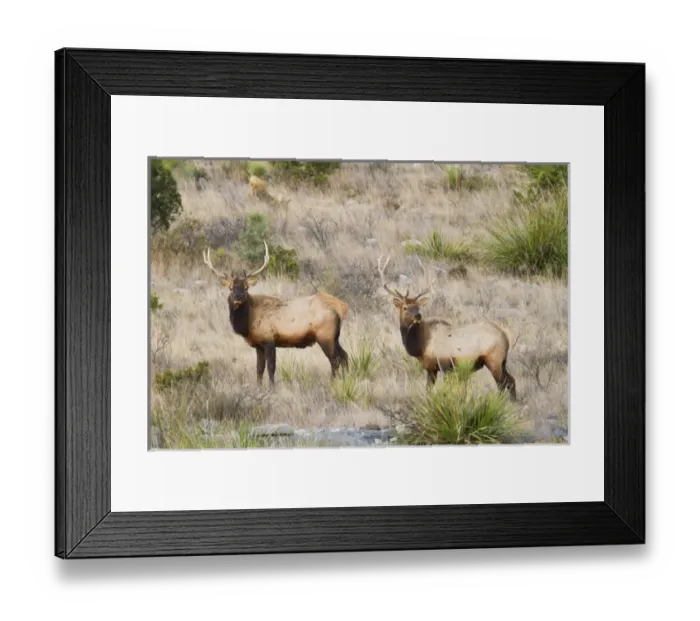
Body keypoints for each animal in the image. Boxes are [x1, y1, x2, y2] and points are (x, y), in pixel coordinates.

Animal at [202, 241, 349, 386]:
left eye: (246, 287)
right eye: (231, 288)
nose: (238, 297)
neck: (249, 321)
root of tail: (341, 307)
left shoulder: (269, 340)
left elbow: (271, 368)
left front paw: (272, 387)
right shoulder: (258, 344)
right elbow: (259, 369)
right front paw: (259, 387)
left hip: (325, 336)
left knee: (335, 360)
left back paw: (333, 383)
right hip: (334, 337)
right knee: (344, 356)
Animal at [376, 252, 516, 399]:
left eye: (418, 307)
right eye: (405, 307)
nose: (418, 316)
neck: (421, 345)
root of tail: (506, 337)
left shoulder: (445, 364)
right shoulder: (431, 368)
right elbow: (428, 390)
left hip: (494, 359)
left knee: (503, 384)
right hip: (503, 361)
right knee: (511, 380)